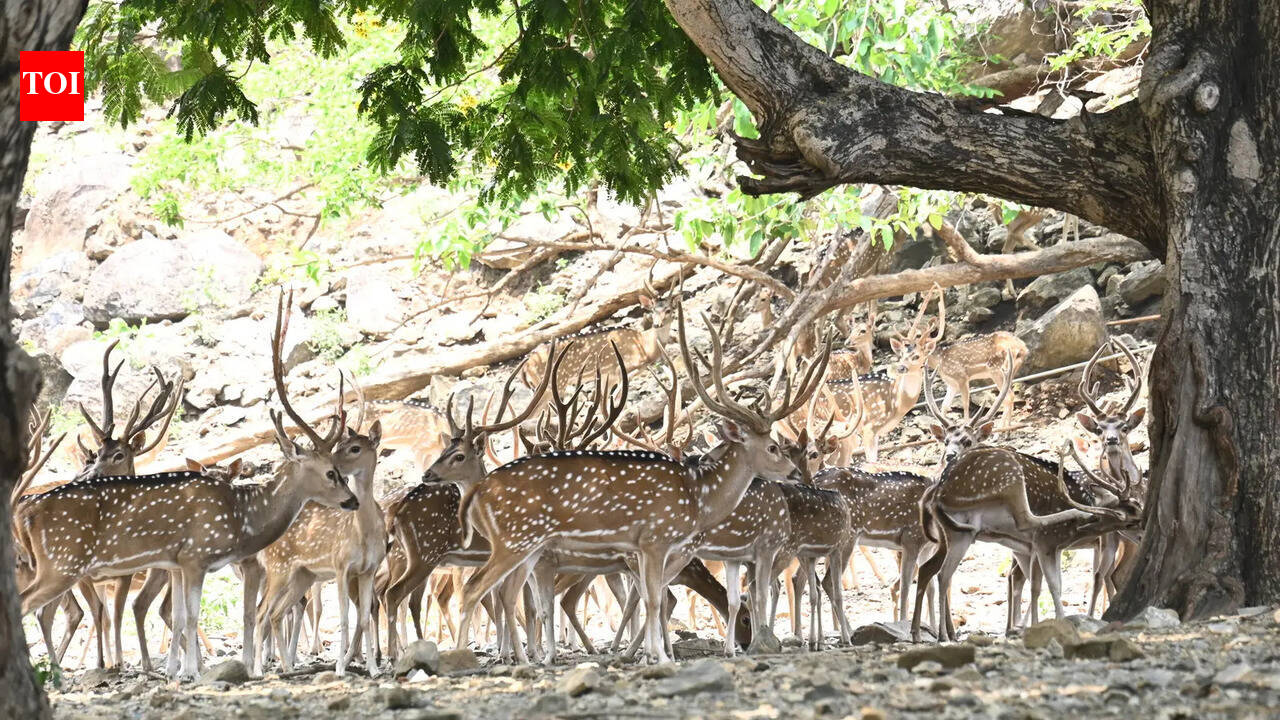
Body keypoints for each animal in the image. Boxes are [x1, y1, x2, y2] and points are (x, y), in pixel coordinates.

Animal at [453, 301, 829, 663]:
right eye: (773, 446)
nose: (796, 474)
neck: (698, 498)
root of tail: (479, 491)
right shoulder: (655, 539)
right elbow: (655, 600)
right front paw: (657, 656)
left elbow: (653, 599)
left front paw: (649, 653)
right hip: (518, 541)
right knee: (478, 589)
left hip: (528, 547)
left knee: (505, 593)